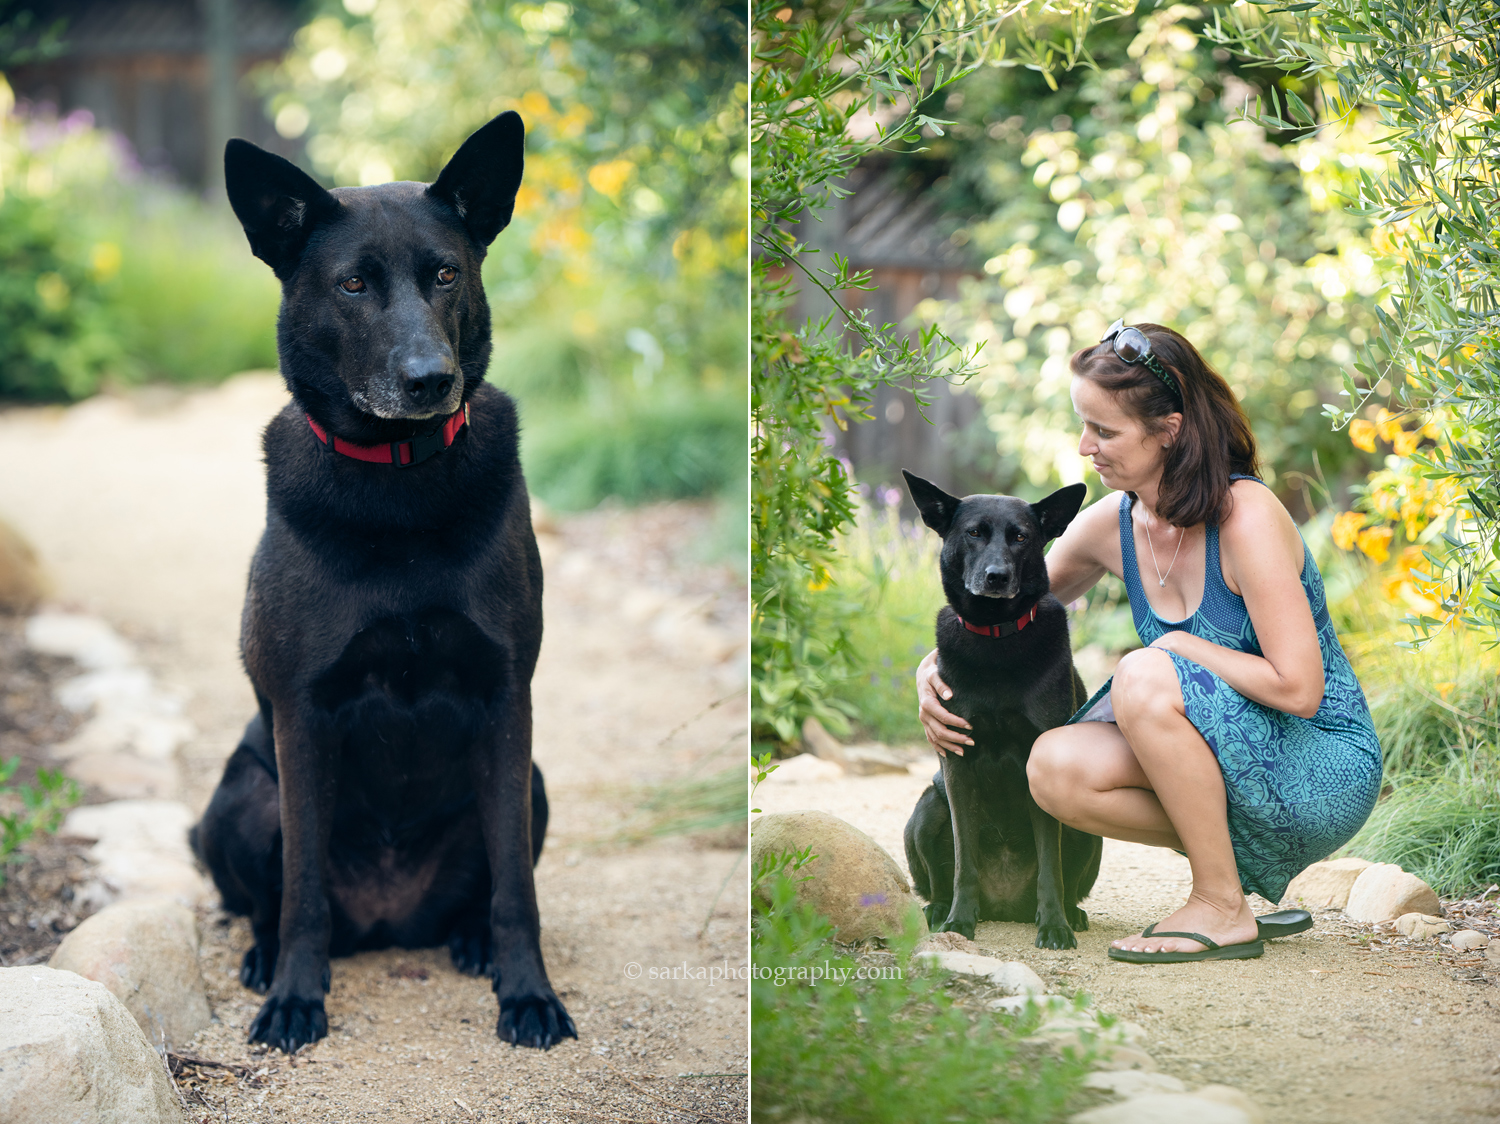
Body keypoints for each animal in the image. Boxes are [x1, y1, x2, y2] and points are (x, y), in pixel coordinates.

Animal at [187, 111, 573, 1050]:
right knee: (272, 901)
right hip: (244, 795)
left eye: (446, 274)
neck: (399, 486)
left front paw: (528, 994)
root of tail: (391, 921)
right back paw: (264, 961)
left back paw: (470, 941)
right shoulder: (302, 711)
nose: (429, 380)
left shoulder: (508, 697)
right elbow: (301, 896)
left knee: (485, 885)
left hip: (534, 782)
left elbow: (517, 890)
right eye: (354, 285)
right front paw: (295, 998)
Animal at [894, 471, 1110, 948]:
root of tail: (1006, 907)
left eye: (1021, 537)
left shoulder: (1038, 762)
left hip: (1087, 829)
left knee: (1068, 879)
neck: (995, 637)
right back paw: (939, 910)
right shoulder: (956, 763)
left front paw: (1054, 925)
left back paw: (1069, 914)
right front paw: (959, 921)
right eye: (974, 533)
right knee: (939, 877)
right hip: (928, 807)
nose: (997, 576)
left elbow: (1050, 866)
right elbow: (964, 862)